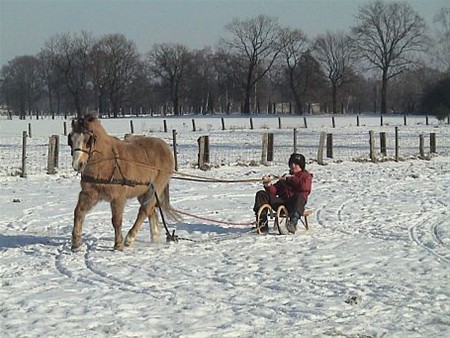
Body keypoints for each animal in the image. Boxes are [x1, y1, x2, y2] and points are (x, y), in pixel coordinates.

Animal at [67, 114, 178, 251]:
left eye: (88, 139)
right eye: (71, 139)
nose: (77, 165)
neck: (107, 163)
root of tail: (164, 146)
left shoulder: (118, 197)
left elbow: (117, 220)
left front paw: (118, 244)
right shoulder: (89, 194)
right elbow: (78, 212)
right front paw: (76, 243)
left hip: (156, 188)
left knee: (144, 210)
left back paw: (130, 238)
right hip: (143, 191)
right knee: (150, 210)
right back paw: (155, 237)